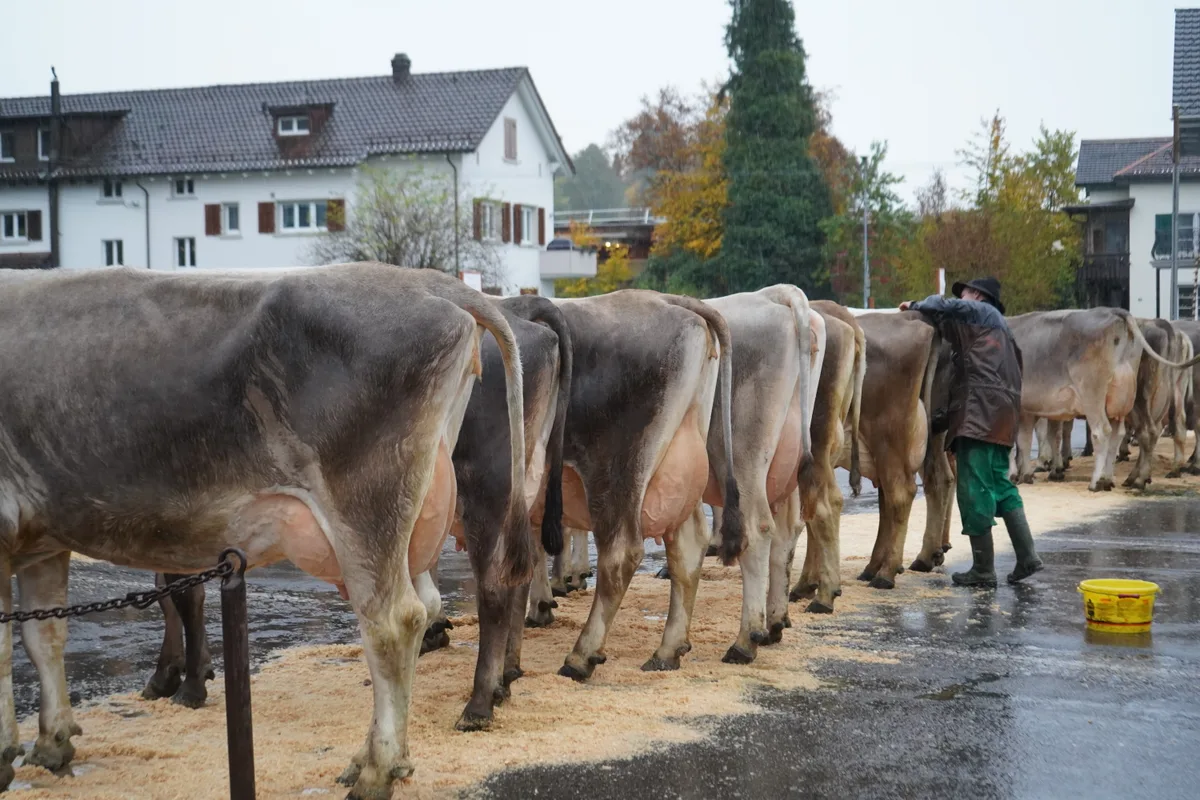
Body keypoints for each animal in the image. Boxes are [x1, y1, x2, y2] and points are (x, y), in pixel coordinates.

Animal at [0, 263, 530, 800]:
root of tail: (427, 281)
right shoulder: (43, 542)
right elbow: (43, 636)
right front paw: (51, 743)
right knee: (424, 607)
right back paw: (368, 759)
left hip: (367, 509)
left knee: (394, 621)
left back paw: (377, 772)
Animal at [551, 290, 744, 679]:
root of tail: (666, 298)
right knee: (687, 545)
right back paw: (667, 651)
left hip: (616, 470)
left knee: (620, 552)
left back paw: (581, 657)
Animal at [1007, 309, 1200, 492]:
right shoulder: (1032, 410)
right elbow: (1030, 438)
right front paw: (1028, 473)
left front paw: (1017, 473)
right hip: (1127, 401)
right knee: (1136, 432)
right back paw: (1123, 478)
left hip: (1095, 396)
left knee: (1104, 432)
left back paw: (1099, 482)